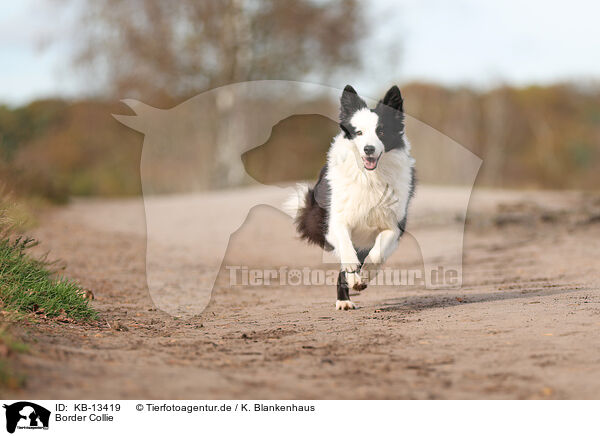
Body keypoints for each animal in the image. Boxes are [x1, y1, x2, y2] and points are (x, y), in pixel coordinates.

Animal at [284, 85, 414, 310]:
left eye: (381, 131)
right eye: (358, 132)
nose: (369, 149)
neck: (369, 176)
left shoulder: (394, 225)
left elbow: (378, 251)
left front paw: (367, 272)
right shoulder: (335, 220)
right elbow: (345, 243)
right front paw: (353, 268)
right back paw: (345, 297)